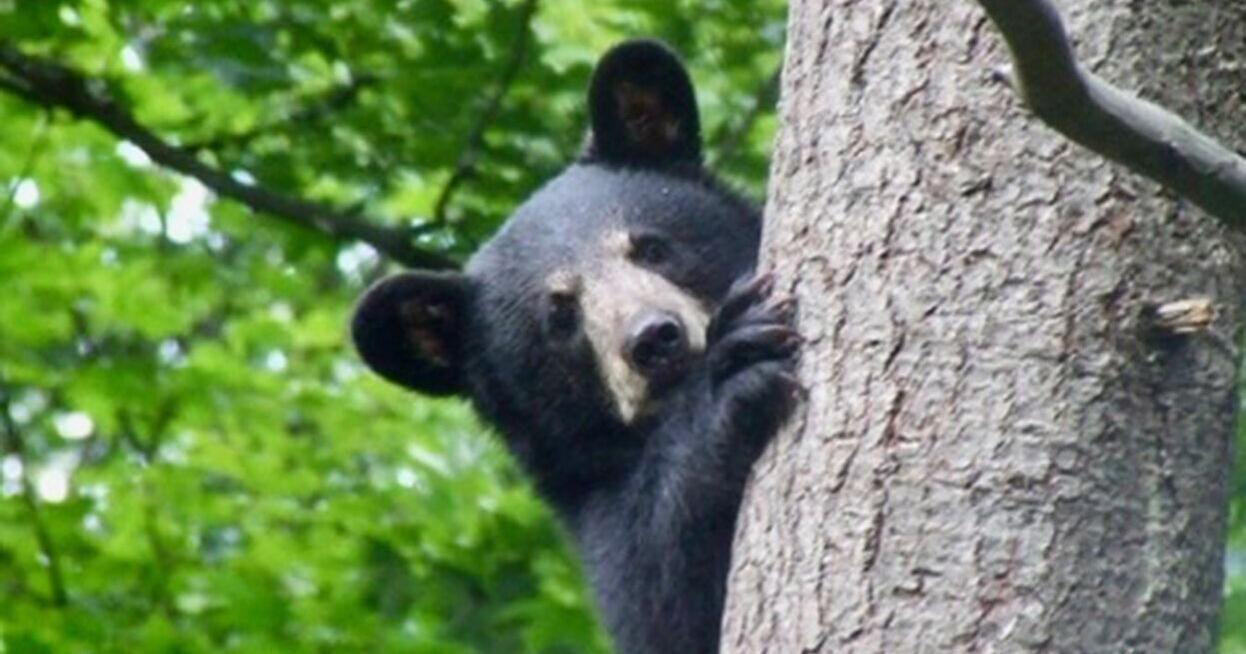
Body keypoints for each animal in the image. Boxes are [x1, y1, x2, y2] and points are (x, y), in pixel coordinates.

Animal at [351, 39, 800, 654]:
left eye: (651, 248)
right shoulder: (594, 506)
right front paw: (730, 369)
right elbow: (664, 598)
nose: (655, 339)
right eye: (561, 315)